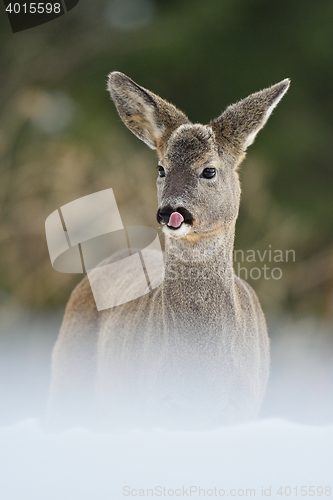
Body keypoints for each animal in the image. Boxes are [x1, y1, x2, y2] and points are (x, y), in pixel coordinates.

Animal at [46, 71, 288, 430]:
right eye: (161, 168)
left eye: (209, 170)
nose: (170, 211)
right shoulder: (155, 404)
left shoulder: (241, 405)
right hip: (67, 372)